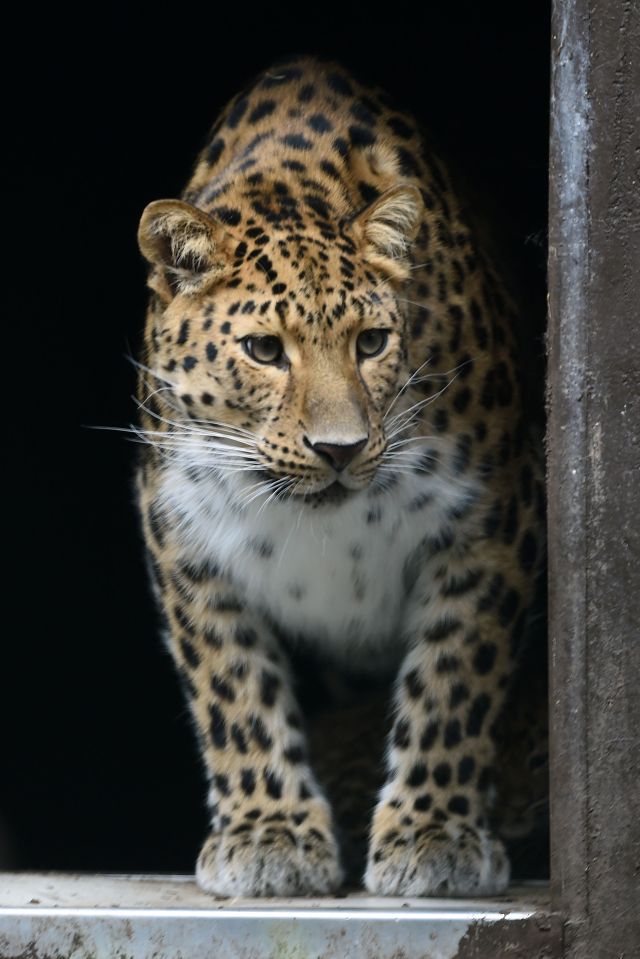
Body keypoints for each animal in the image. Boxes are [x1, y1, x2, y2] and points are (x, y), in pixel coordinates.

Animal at [134, 54, 544, 900]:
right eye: (263, 350)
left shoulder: (495, 516)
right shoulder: (180, 528)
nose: (340, 449)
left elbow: (454, 678)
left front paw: (434, 834)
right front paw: (269, 835)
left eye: (373, 342)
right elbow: (233, 688)